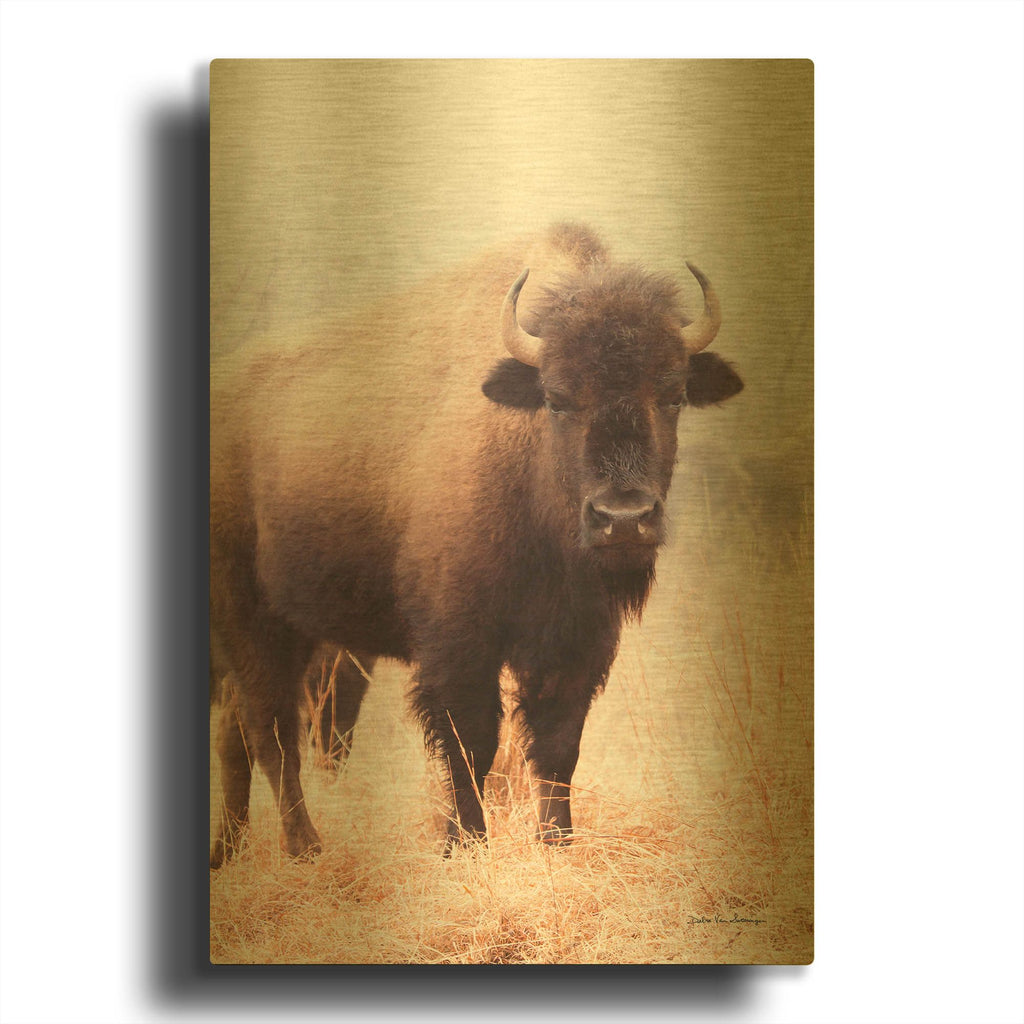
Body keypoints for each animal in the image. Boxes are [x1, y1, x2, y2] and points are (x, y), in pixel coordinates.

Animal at [209, 223, 742, 868]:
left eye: (672, 396)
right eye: (557, 398)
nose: (622, 518)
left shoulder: (578, 643)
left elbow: (558, 745)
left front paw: (557, 844)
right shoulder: (459, 642)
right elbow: (472, 742)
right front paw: (464, 843)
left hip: (299, 629)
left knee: (241, 732)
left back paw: (229, 852)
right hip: (251, 621)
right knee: (272, 731)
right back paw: (303, 847)